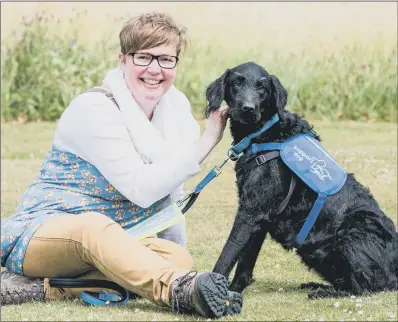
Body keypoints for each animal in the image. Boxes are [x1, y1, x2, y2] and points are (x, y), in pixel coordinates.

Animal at [205, 61, 398, 298]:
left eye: (262, 87)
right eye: (236, 83)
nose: (248, 109)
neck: (266, 133)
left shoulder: (249, 213)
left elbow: (227, 256)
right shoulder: (258, 216)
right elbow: (244, 264)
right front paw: (234, 292)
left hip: (353, 233)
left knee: (363, 288)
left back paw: (322, 293)